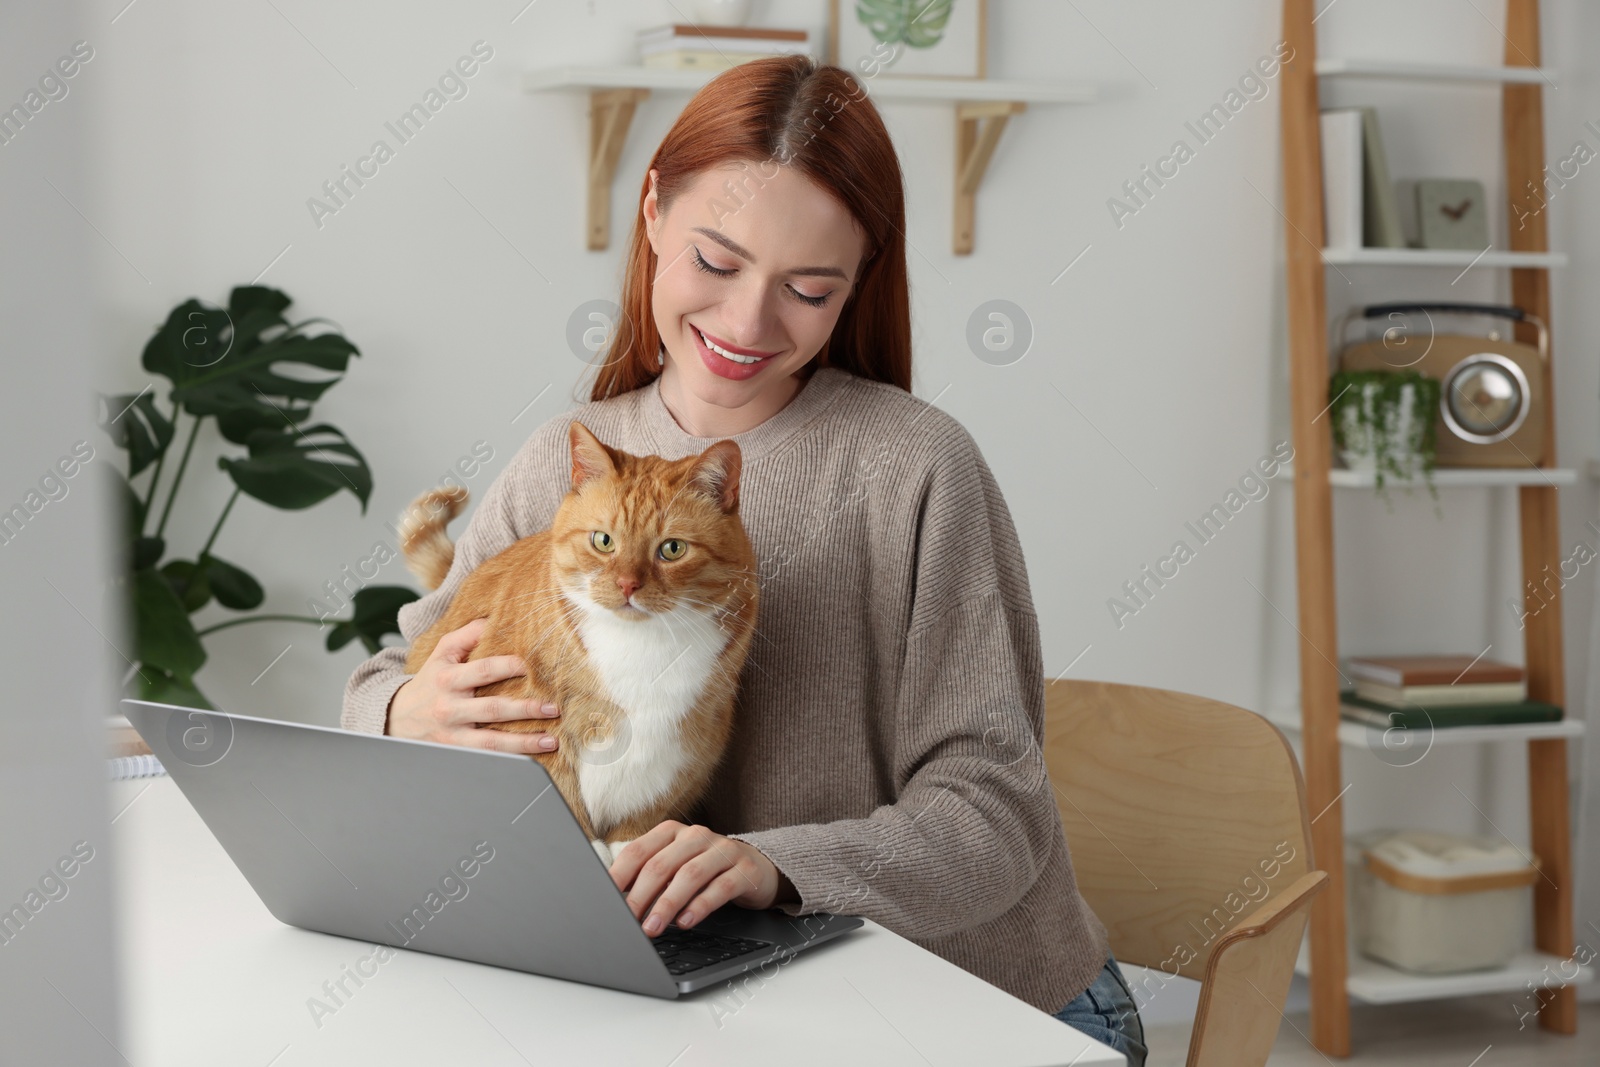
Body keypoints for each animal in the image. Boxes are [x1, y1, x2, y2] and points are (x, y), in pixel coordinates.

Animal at [396, 419, 752, 870]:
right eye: (603, 541)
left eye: (672, 549)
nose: (627, 584)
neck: (641, 647)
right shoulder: (526, 724)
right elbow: (555, 783)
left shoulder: (693, 741)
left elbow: (647, 806)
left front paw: (628, 851)